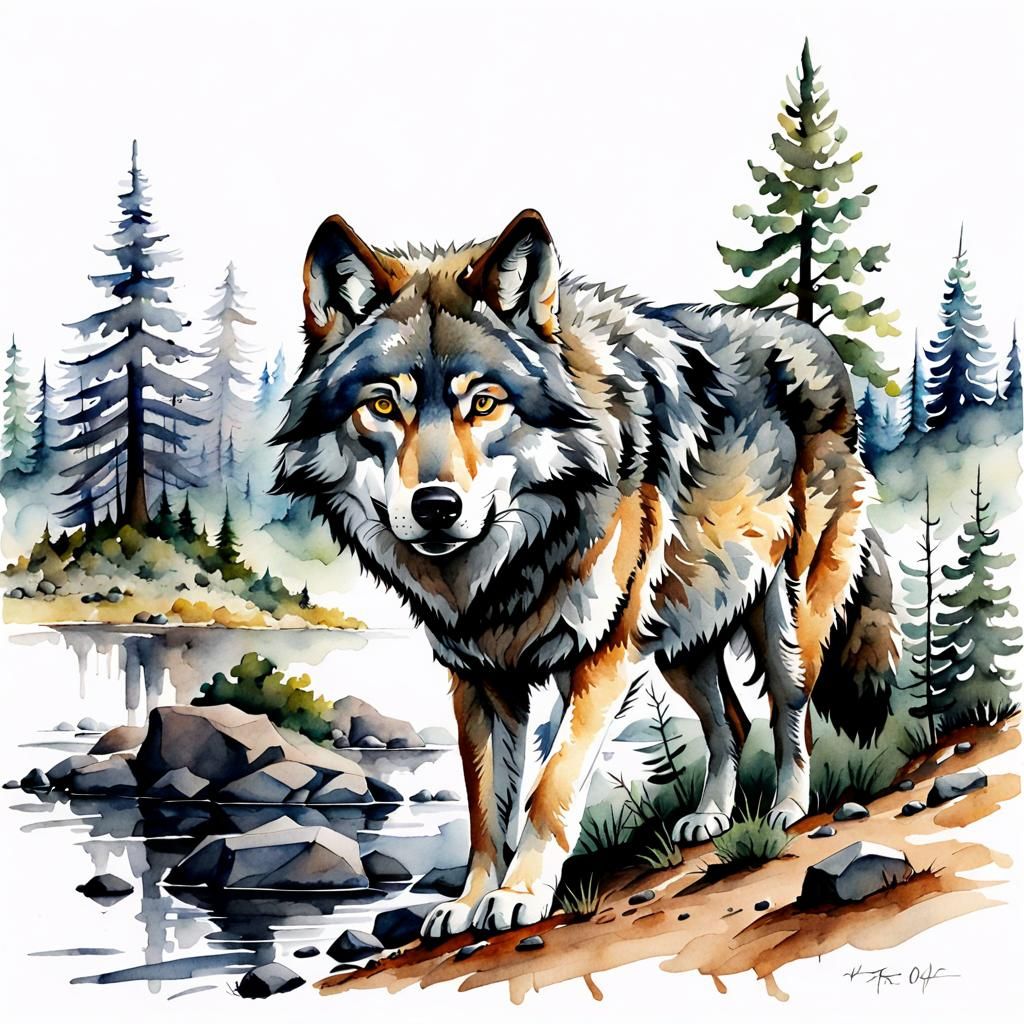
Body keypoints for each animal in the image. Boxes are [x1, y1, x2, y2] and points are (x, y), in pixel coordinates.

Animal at [273, 209, 898, 938]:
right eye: (381, 406)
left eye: (484, 404)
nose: (435, 506)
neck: (506, 568)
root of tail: (816, 340)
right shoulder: (478, 680)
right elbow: (485, 808)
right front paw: (467, 901)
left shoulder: (602, 657)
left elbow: (551, 788)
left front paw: (519, 895)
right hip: (679, 640)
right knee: (732, 725)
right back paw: (710, 817)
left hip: (783, 616)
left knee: (792, 710)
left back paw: (787, 809)